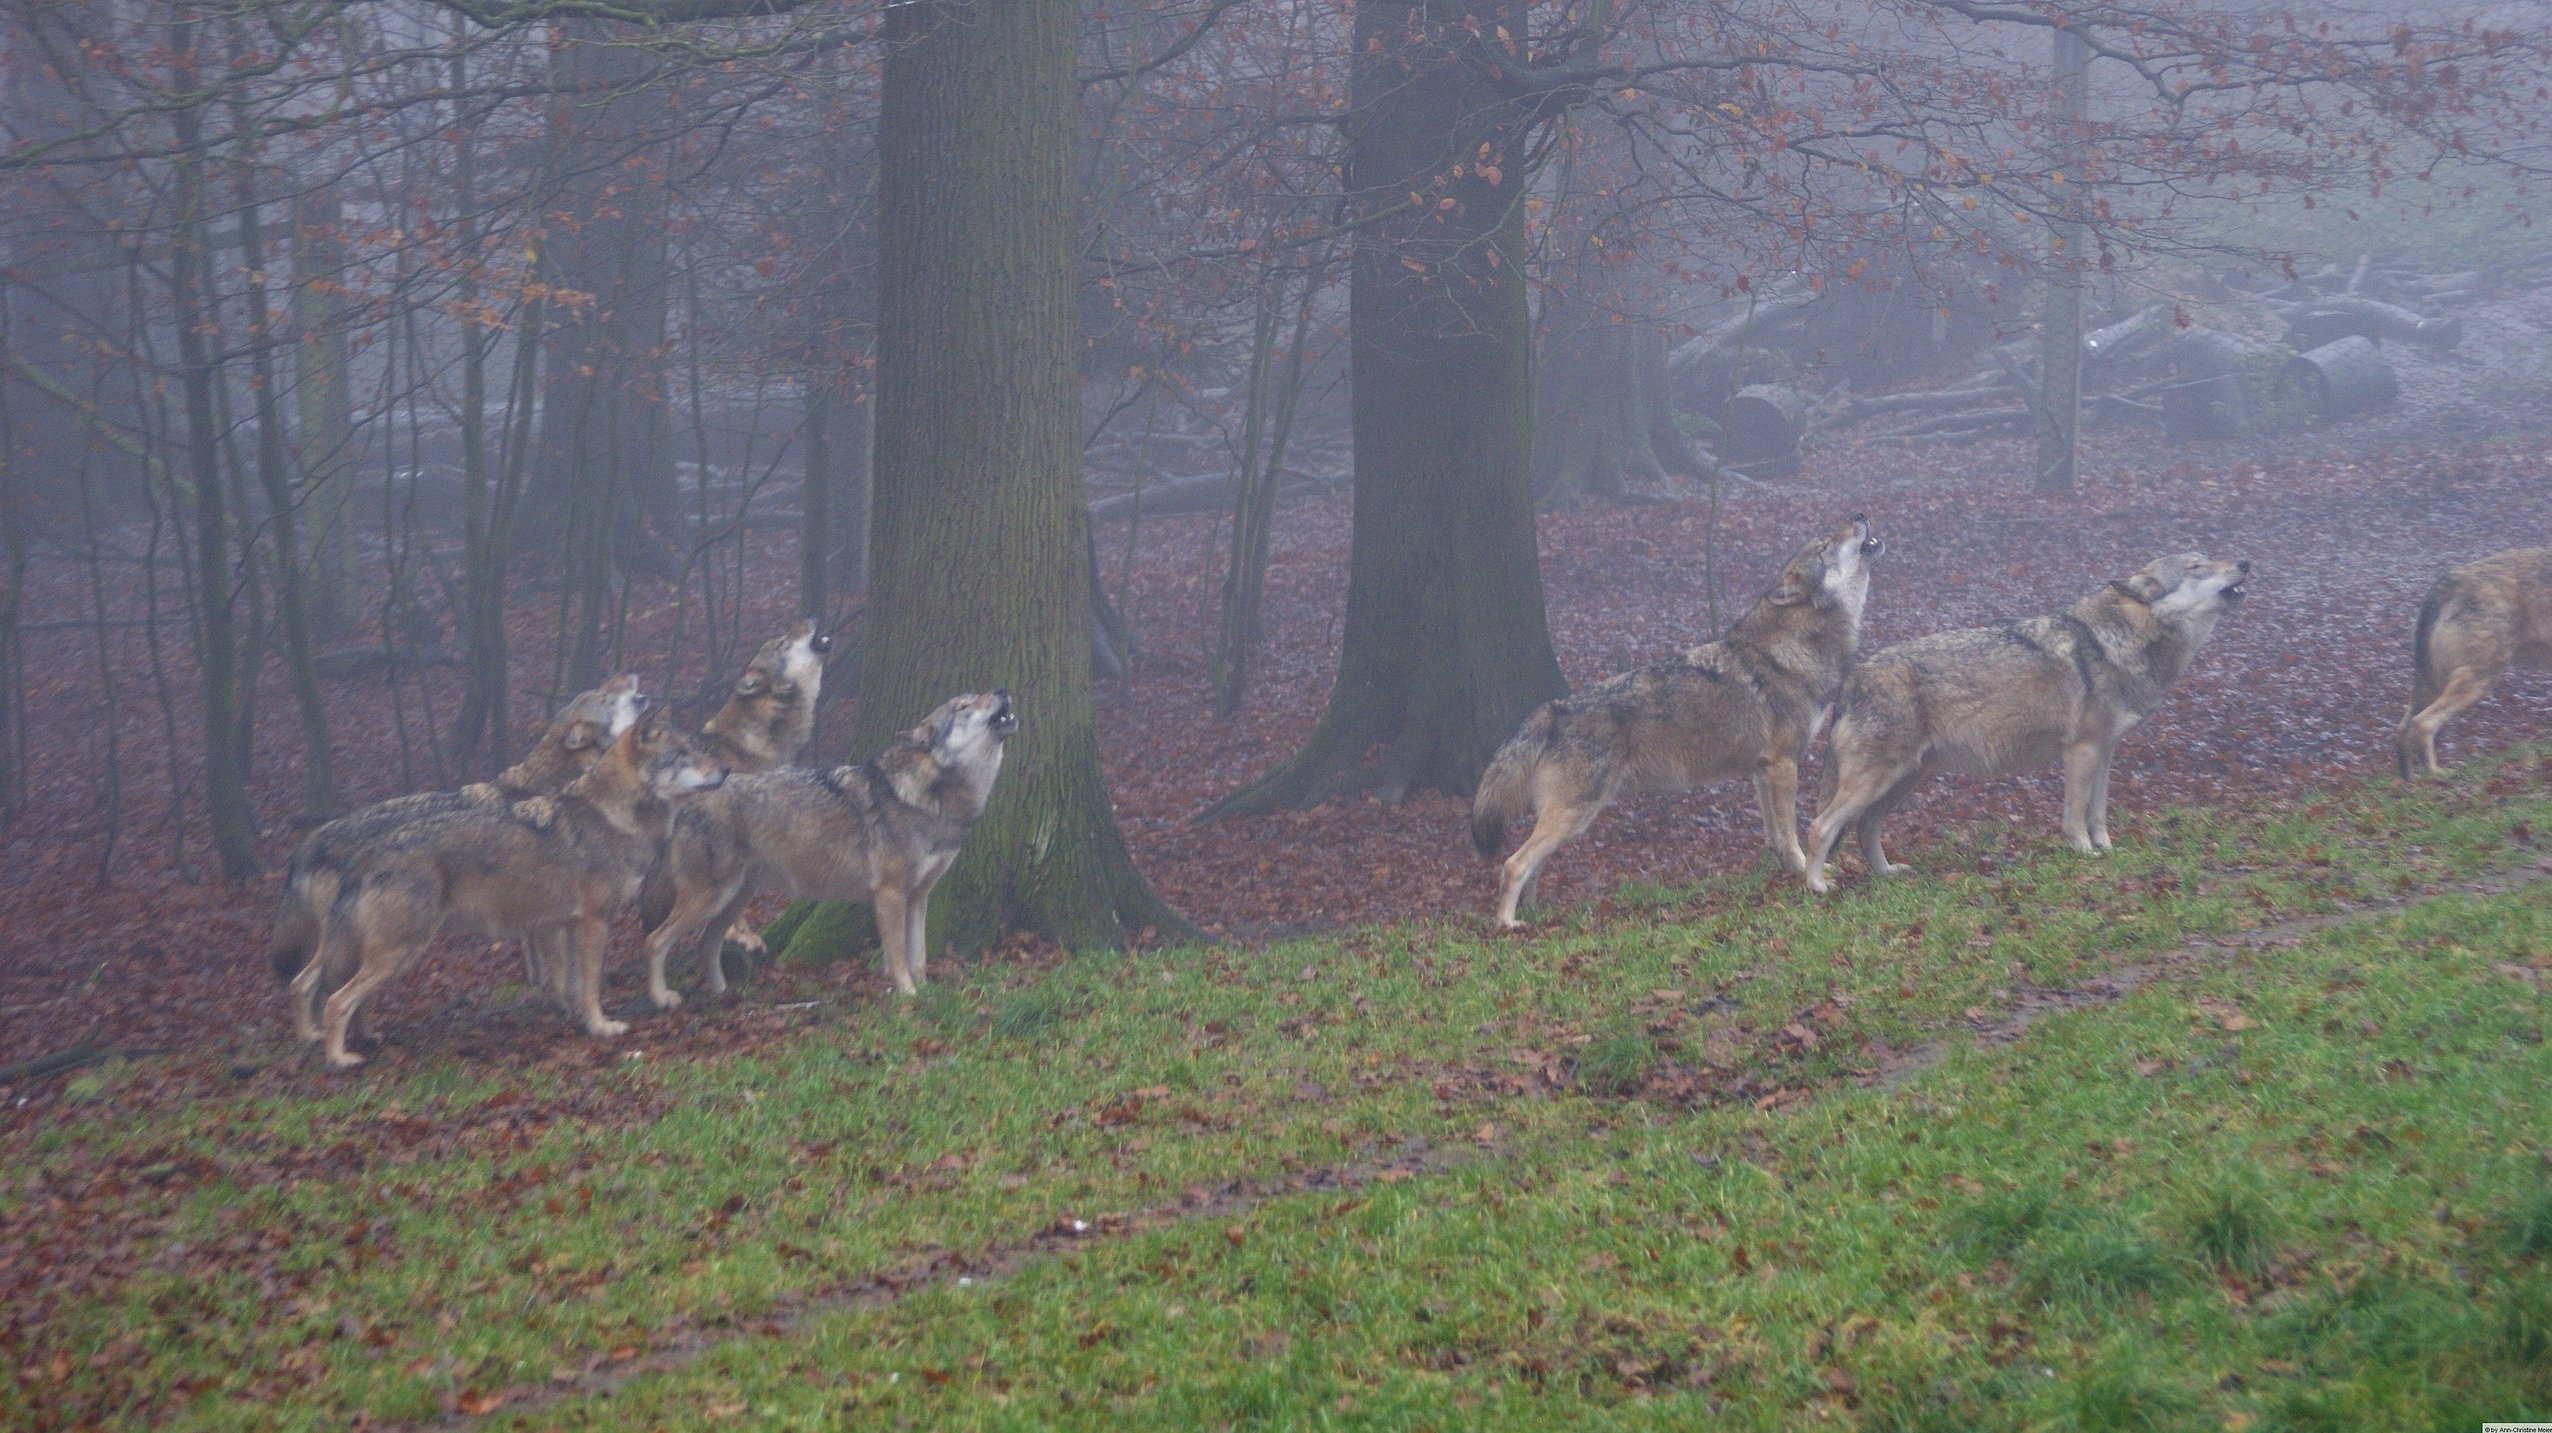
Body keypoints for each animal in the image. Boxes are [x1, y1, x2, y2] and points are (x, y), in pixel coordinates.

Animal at [296, 719, 729, 1065]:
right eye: (682, 755)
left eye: (697, 749)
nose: (725, 769)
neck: (613, 816)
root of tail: (370, 851)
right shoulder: (593, 922)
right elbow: (590, 984)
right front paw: (602, 1027)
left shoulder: (560, 924)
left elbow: (566, 983)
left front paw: (577, 1017)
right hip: (399, 953)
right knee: (335, 1001)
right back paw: (339, 1058)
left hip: (387, 954)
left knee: (326, 990)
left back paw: (357, 1039)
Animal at [643, 688, 1020, 999]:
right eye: (963, 706)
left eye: (979, 693)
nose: (1002, 689)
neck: (934, 798)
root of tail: (685, 801)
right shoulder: (889, 894)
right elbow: (898, 954)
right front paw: (907, 996)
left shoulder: (919, 896)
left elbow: (920, 954)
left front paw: (926, 991)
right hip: (711, 898)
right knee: (655, 941)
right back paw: (663, 999)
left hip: (735, 898)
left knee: (707, 943)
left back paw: (723, 992)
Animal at [1469, 512, 1888, 928]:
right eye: (1824, 546)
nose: (1859, 515)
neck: (1795, 648)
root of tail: (1552, 710)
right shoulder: (1784, 764)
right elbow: (1790, 833)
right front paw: (1804, 871)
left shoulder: (1762, 770)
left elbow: (1773, 835)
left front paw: (1786, 870)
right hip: (1574, 816)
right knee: (1513, 864)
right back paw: (1508, 925)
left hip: (1569, 821)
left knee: (1533, 867)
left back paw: (1535, 917)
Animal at [1796, 553, 2255, 887]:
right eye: (2196, 567)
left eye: (2209, 557)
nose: (2246, 561)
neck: (2114, 640)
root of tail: (1850, 680)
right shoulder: (2081, 750)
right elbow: (2075, 816)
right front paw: (2084, 853)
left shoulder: (2105, 752)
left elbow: (2099, 812)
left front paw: (2107, 851)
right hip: (1877, 780)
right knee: (1820, 827)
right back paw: (1817, 887)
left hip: (1902, 780)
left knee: (1865, 828)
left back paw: (1887, 874)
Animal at [2388, 543, 2552, 770]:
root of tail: (2450, 581)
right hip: (2477, 682)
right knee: (2423, 723)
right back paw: (2437, 774)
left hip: (2434, 684)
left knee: (2403, 731)